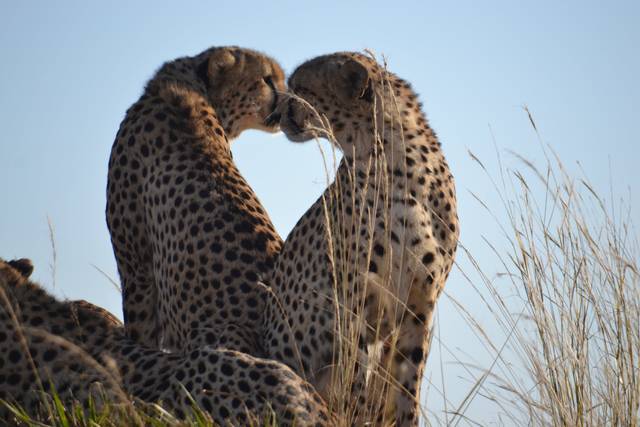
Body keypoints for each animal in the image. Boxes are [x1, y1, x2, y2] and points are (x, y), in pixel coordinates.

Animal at [262, 51, 458, 426]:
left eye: (300, 89)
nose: (276, 114)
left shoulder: (419, 304)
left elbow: (406, 384)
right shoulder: (353, 303)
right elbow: (357, 379)